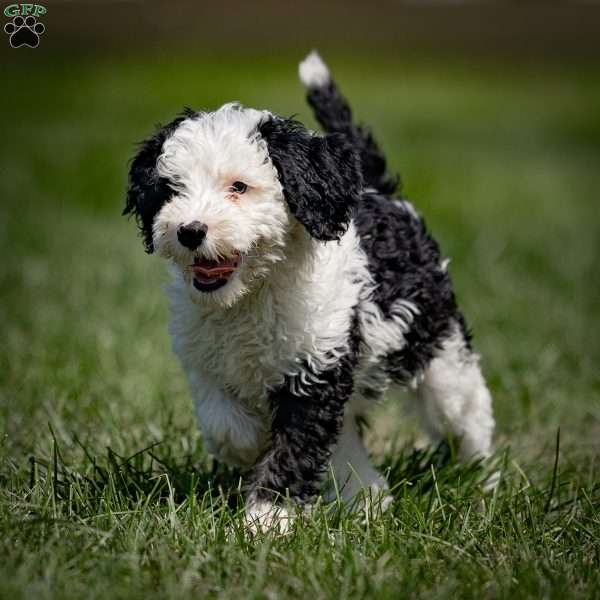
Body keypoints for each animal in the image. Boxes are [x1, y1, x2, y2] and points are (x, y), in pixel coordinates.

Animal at [124, 51, 494, 528]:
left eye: (239, 187)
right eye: (171, 190)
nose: (190, 231)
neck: (252, 294)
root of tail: (386, 196)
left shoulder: (317, 364)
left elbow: (294, 446)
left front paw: (267, 520)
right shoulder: (204, 358)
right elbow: (223, 422)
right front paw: (249, 444)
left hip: (439, 351)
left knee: (467, 412)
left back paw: (483, 479)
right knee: (349, 435)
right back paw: (368, 496)